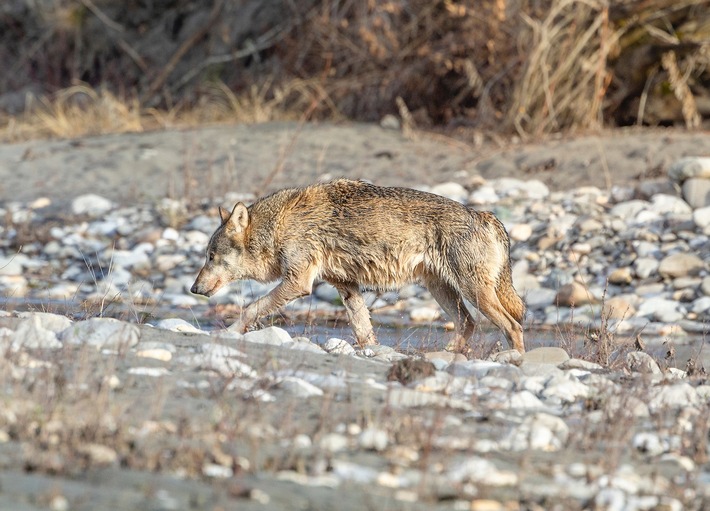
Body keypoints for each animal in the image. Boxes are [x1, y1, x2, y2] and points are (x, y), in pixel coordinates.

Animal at [191, 179, 525, 353]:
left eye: (210, 256)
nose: (193, 288)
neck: (279, 225)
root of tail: (484, 215)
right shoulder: (347, 288)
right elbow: (364, 331)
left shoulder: (298, 283)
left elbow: (251, 309)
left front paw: (229, 332)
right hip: (443, 291)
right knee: (468, 324)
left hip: (472, 292)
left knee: (513, 326)